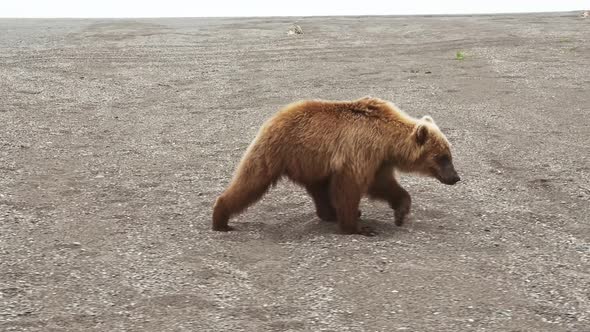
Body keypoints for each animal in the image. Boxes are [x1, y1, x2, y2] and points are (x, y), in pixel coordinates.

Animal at [213, 96, 462, 236]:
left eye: (449, 154)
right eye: (442, 157)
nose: (455, 177)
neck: (388, 141)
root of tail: (272, 118)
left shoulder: (379, 160)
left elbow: (384, 185)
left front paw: (400, 212)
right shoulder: (362, 150)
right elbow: (350, 187)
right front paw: (359, 228)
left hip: (311, 162)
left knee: (319, 190)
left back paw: (329, 214)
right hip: (281, 151)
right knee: (251, 180)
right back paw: (220, 219)